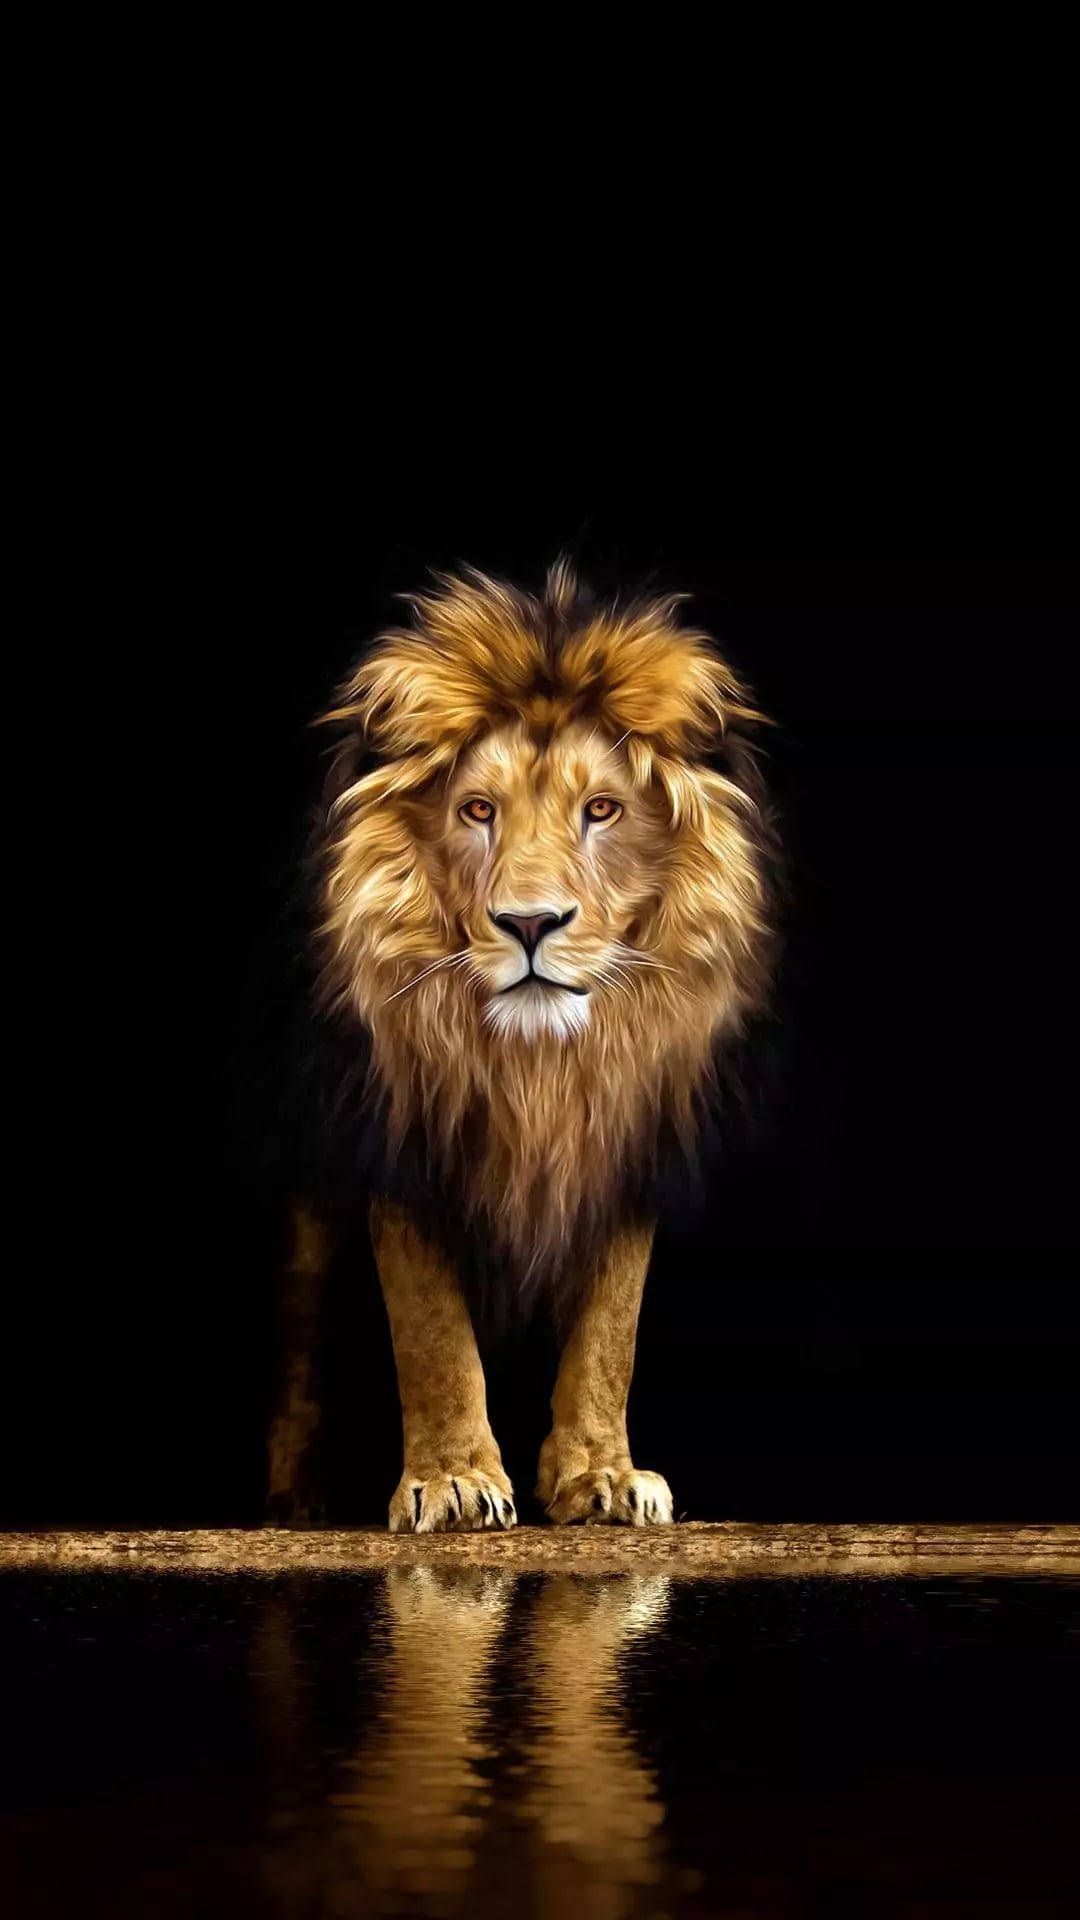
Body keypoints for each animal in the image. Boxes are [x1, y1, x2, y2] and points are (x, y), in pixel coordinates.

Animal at [267, 561, 776, 1531]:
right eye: (477, 810)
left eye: (602, 810)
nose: (531, 923)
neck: (538, 1066)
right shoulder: (402, 1140)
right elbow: (429, 1329)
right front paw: (453, 1480)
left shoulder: (626, 1139)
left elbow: (612, 1330)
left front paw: (603, 1475)